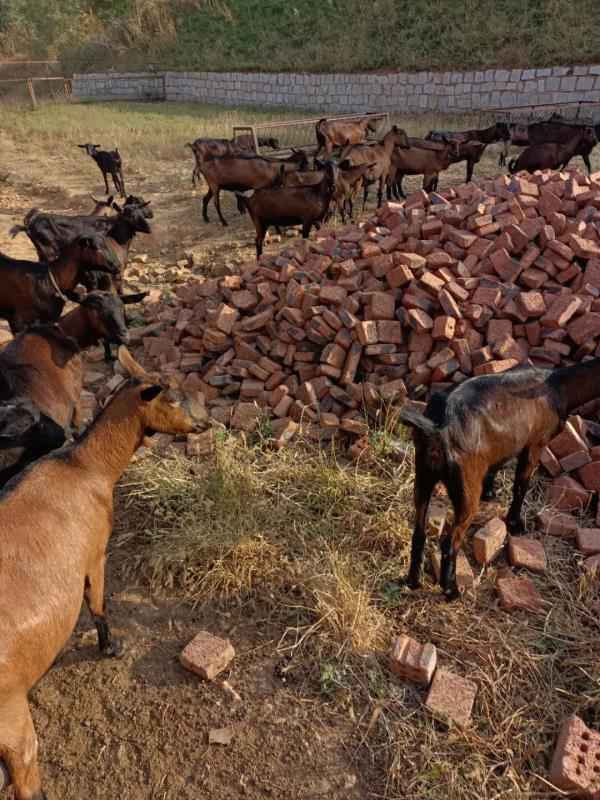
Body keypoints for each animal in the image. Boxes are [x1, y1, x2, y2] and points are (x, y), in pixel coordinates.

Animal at [0, 346, 195, 800]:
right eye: (173, 398)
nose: (201, 426)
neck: (85, 465)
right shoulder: (95, 552)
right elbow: (98, 602)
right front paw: (111, 647)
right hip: (9, 715)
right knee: (25, 773)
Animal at [398, 358, 600, 600]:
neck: (557, 385)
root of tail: (439, 428)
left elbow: (496, 466)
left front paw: (490, 493)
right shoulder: (534, 444)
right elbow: (521, 484)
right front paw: (515, 523)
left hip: (423, 475)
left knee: (419, 530)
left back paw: (413, 582)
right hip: (465, 488)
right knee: (449, 542)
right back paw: (452, 591)